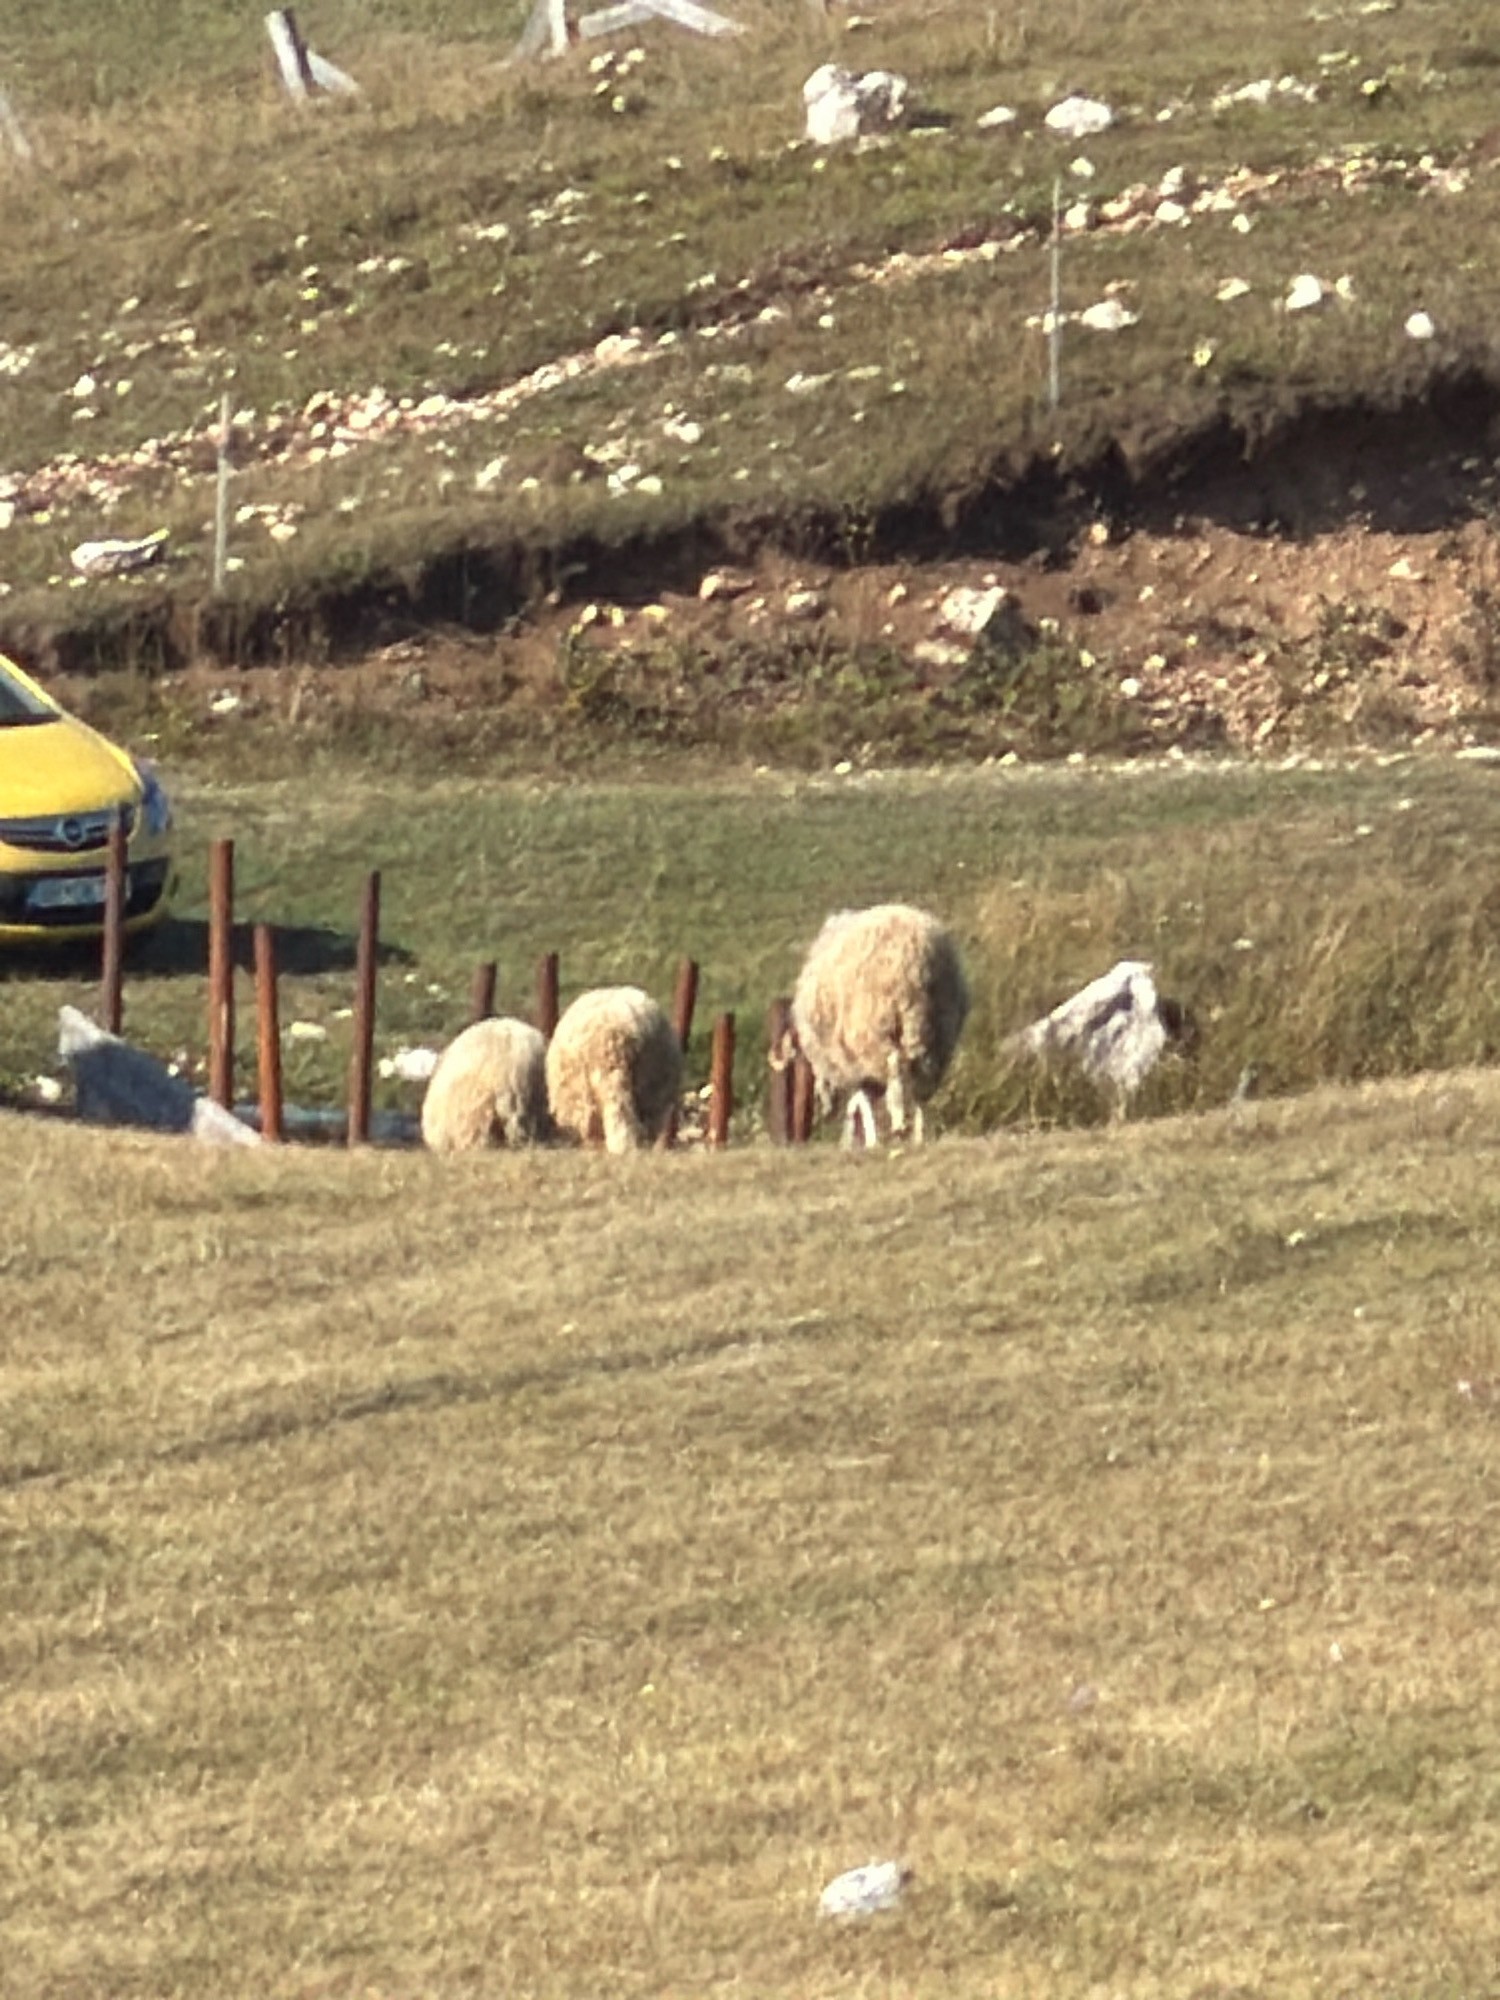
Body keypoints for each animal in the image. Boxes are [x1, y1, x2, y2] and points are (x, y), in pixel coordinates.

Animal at [790, 903, 969, 1146]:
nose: (825, 1110)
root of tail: (918, 952)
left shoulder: (857, 1062)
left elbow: (861, 1101)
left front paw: (871, 1139)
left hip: (882, 1027)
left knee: (896, 1072)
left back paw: (899, 1124)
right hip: (939, 1027)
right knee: (924, 1082)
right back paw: (918, 1134)